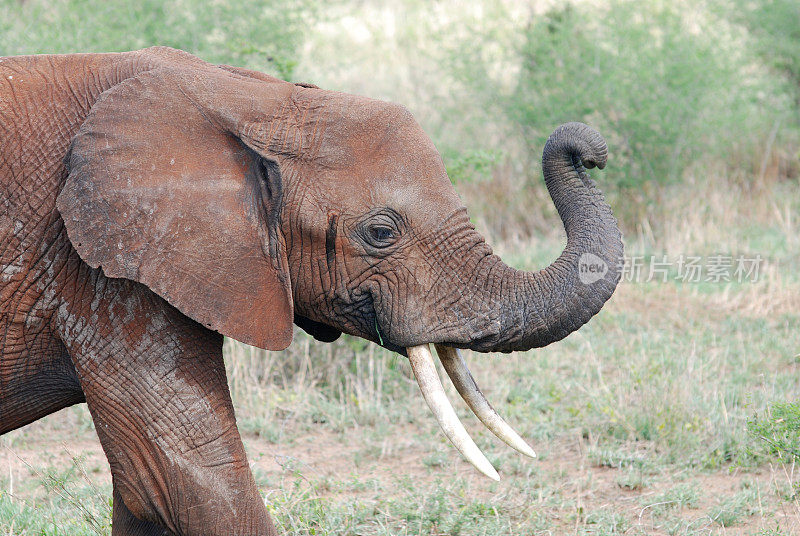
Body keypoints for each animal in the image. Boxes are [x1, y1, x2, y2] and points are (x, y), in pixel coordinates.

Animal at [0, 48, 620, 532]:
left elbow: (147, 493)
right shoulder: (107, 271)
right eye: (381, 233)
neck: (250, 98)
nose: (587, 148)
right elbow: (187, 479)